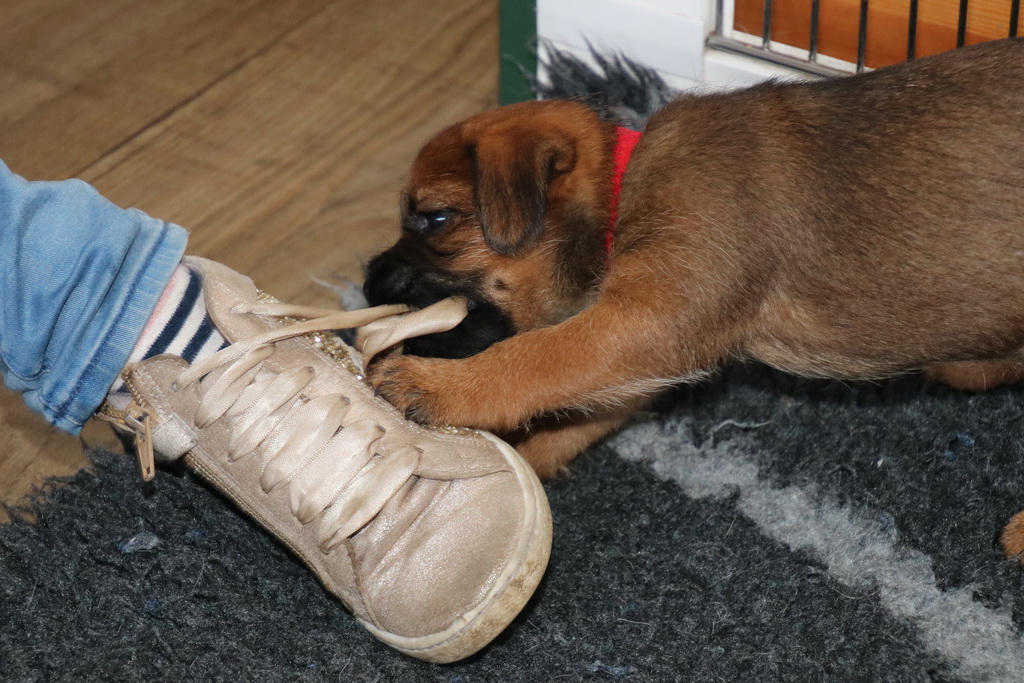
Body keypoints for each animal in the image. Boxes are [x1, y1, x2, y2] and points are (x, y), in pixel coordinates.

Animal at [362, 38, 1024, 483]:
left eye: (436, 218)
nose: (369, 281)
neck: (622, 194)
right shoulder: (638, 349)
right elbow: (572, 404)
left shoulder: (648, 321)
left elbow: (531, 358)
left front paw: (435, 386)